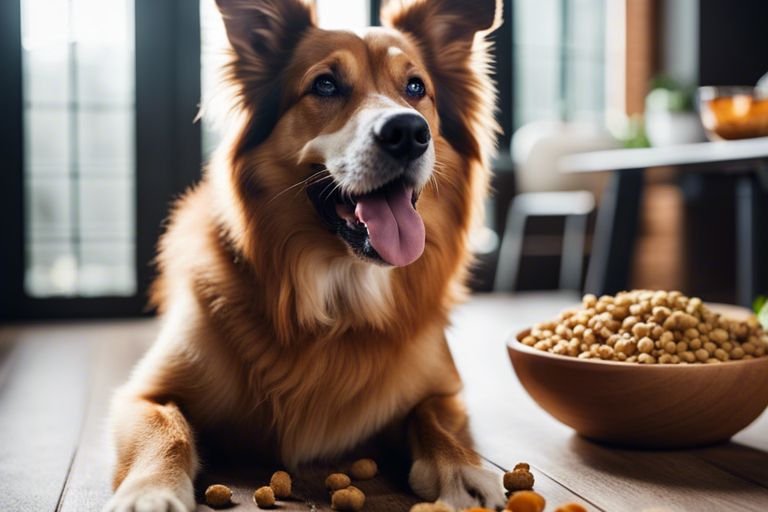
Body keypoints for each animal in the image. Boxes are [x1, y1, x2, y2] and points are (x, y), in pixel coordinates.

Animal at [106, 2, 504, 510]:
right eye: (325, 85)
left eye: (416, 87)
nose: (408, 131)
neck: (338, 296)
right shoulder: (144, 394)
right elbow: (167, 431)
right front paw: (151, 492)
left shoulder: (444, 390)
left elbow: (432, 420)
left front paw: (464, 470)